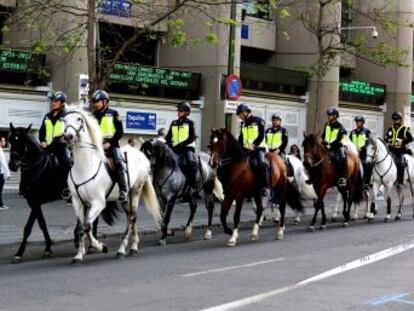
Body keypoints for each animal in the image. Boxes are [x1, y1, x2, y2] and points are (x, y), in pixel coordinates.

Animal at [63, 107, 162, 264]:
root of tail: (141, 155)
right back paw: (133, 247)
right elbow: (81, 228)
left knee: (132, 218)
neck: (85, 166)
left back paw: (122, 249)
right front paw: (79, 255)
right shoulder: (77, 202)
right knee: (131, 217)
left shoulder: (98, 203)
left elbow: (87, 226)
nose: (68, 137)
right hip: (125, 199)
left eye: (79, 119)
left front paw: (101, 247)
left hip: (135, 192)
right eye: (64, 120)